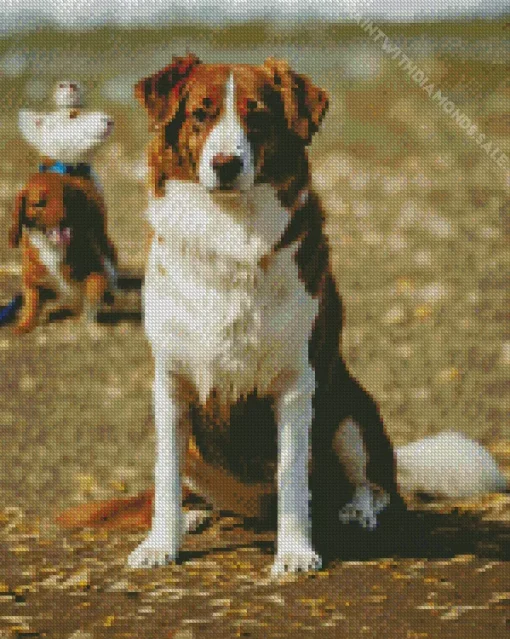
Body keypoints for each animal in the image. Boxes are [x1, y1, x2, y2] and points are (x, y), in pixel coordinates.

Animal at [127, 53, 402, 576]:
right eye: (200, 113)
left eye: (258, 117)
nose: (226, 164)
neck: (229, 229)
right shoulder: (171, 383)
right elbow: (165, 476)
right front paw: (160, 542)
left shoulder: (294, 384)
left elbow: (293, 475)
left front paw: (294, 551)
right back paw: (195, 515)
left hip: (351, 414)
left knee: (376, 485)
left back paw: (355, 509)